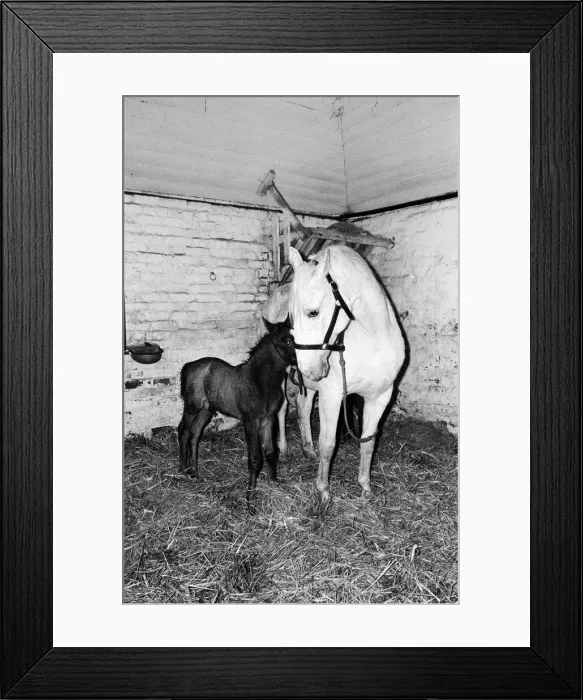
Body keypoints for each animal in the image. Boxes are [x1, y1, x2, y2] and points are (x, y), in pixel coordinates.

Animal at [178, 318, 296, 511]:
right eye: (286, 341)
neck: (259, 381)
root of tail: (189, 366)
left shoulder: (268, 419)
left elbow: (271, 452)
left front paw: (273, 483)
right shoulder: (250, 421)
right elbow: (255, 459)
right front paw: (250, 501)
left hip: (206, 410)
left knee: (195, 434)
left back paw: (195, 471)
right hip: (192, 407)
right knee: (184, 431)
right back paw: (182, 470)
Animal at [288, 244, 406, 502]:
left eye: (313, 312)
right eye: (290, 316)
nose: (309, 370)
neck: (371, 337)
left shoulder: (380, 397)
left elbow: (368, 443)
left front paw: (365, 486)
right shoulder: (331, 397)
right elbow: (328, 444)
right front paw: (323, 489)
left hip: (308, 388)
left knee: (303, 408)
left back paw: (307, 450)